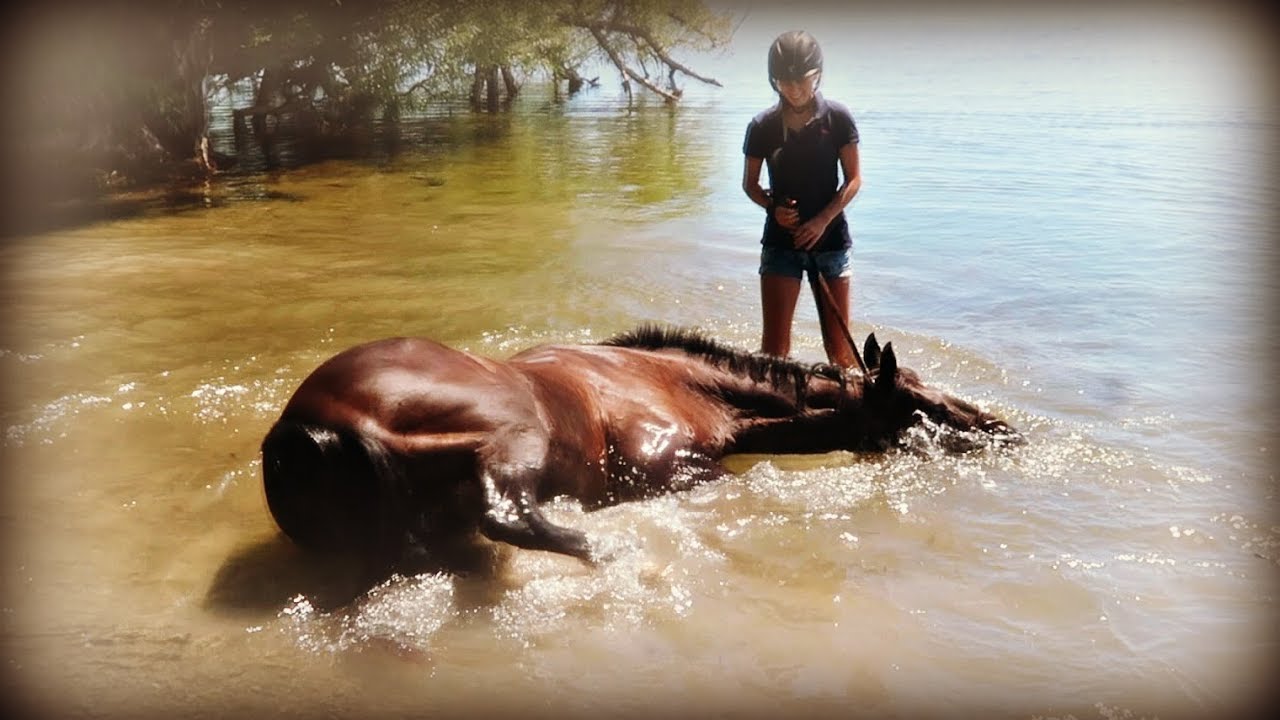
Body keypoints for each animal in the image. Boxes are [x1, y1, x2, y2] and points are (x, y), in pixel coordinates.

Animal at [260, 325, 1019, 571]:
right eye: (920, 405)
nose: (1006, 432)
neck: (683, 384)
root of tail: (314, 422)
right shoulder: (659, 465)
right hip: (516, 435)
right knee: (506, 514)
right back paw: (602, 549)